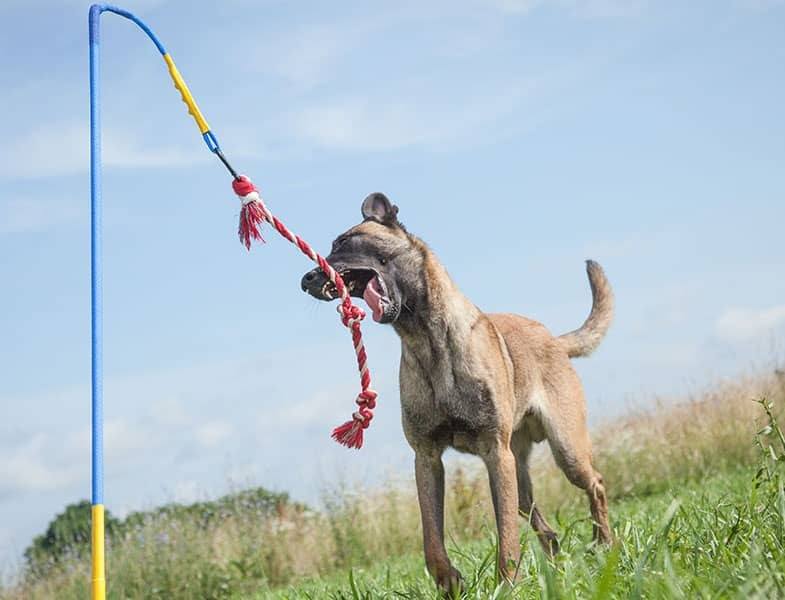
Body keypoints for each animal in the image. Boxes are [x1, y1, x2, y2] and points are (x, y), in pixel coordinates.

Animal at [300, 193, 612, 592]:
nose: (306, 279)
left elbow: (506, 535)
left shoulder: (495, 453)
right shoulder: (427, 458)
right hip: (518, 471)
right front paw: (450, 581)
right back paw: (556, 563)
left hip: (564, 450)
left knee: (595, 484)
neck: (427, 340)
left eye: (343, 242)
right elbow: (431, 539)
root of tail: (554, 341)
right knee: (542, 522)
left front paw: (507, 585)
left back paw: (604, 543)